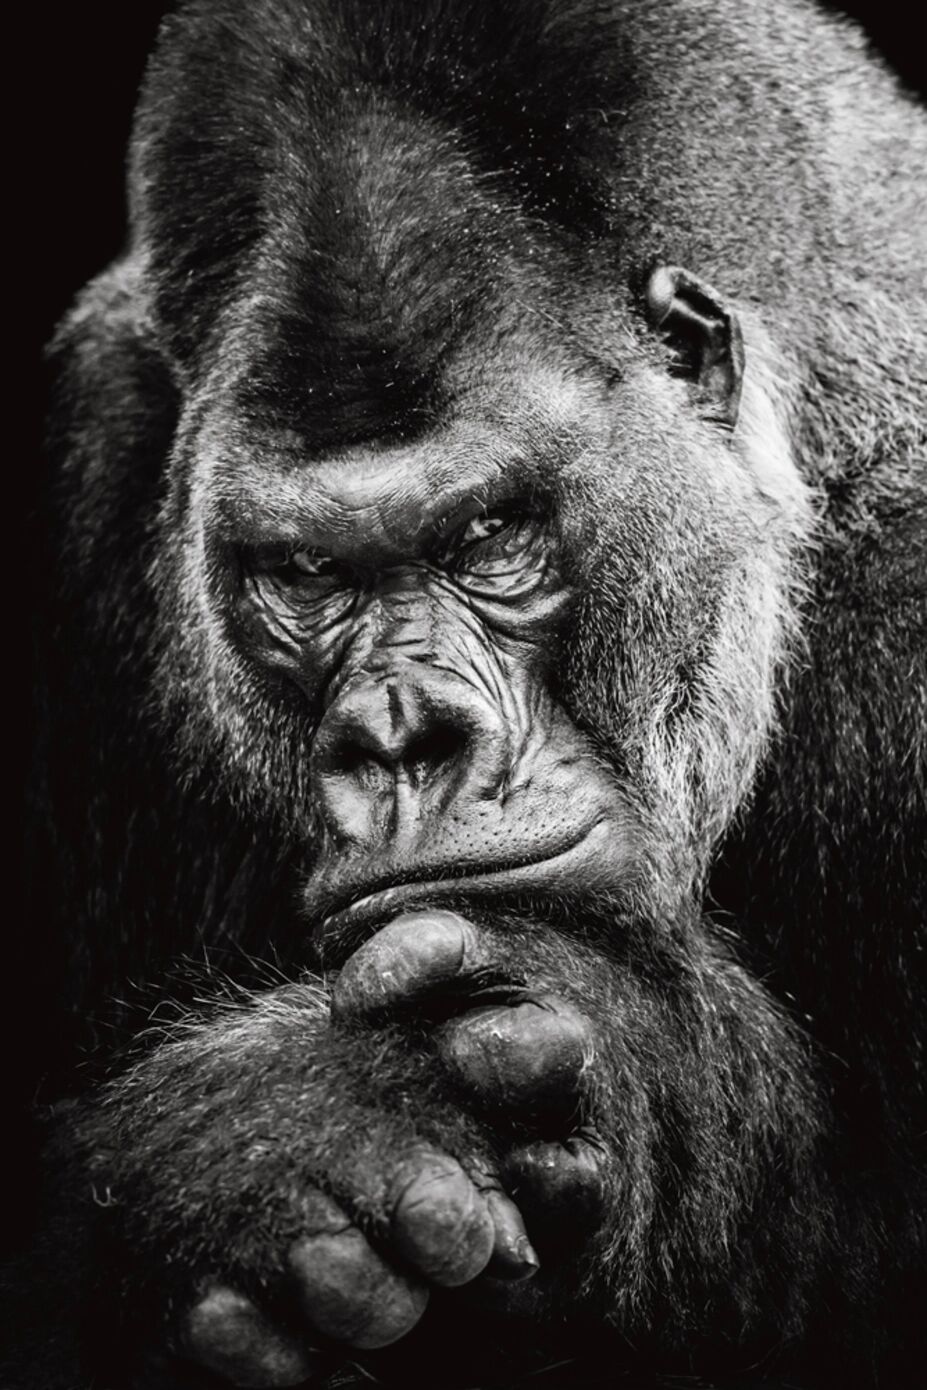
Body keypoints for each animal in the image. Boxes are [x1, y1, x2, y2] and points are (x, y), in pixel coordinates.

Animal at [14, 1, 926, 1387]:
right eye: (303, 573)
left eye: (493, 535)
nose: (401, 735)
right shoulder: (96, 454)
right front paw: (266, 1143)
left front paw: (635, 1056)